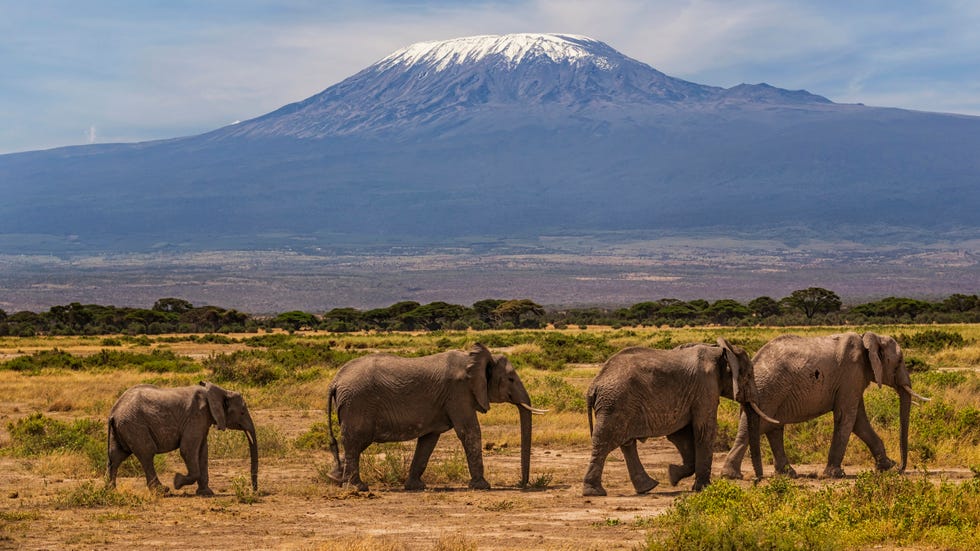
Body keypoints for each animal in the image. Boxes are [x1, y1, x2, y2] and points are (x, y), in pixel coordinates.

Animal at [106, 384, 256, 496]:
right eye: (242, 412)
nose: (254, 490)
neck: (220, 391)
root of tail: (114, 412)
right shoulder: (196, 416)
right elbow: (187, 450)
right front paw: (176, 482)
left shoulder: (202, 420)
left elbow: (202, 452)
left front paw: (206, 493)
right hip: (134, 425)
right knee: (146, 453)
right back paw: (163, 491)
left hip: (122, 428)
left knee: (116, 457)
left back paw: (111, 491)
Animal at [328, 342, 544, 494]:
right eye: (511, 379)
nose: (522, 484)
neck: (473, 359)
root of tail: (335, 381)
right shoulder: (458, 393)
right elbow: (470, 432)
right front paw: (483, 486)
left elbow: (428, 441)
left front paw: (416, 487)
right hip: (357, 403)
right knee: (355, 441)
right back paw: (357, 488)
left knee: (353, 444)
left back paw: (336, 479)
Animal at [580, 336, 780, 496]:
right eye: (749, 375)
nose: (756, 481)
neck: (720, 352)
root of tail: (594, 385)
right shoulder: (705, 388)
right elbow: (704, 430)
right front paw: (703, 488)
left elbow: (682, 435)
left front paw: (673, 476)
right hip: (615, 404)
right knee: (605, 442)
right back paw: (595, 492)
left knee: (627, 444)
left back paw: (647, 487)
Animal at [724, 332, 932, 484]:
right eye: (899, 361)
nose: (901, 468)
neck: (870, 338)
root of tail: (755, 359)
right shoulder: (851, 374)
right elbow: (847, 417)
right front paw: (835, 474)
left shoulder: (854, 379)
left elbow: (859, 422)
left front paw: (887, 466)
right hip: (769, 390)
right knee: (756, 427)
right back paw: (731, 475)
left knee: (772, 427)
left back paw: (788, 474)